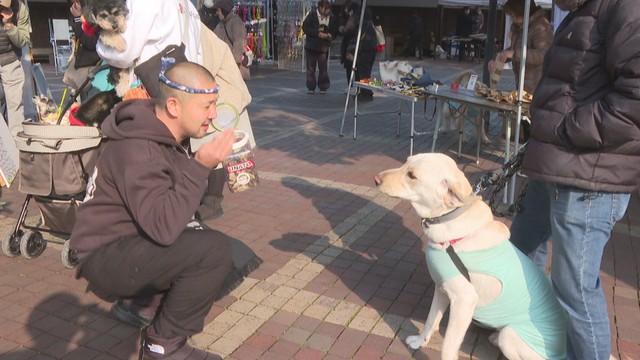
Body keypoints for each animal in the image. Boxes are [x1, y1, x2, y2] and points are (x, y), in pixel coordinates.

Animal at [376, 153, 564, 360]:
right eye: (406, 162)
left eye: (412, 175)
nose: (376, 179)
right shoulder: (441, 288)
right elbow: (431, 320)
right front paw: (419, 342)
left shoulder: (464, 301)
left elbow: (448, 347)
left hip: (510, 336)